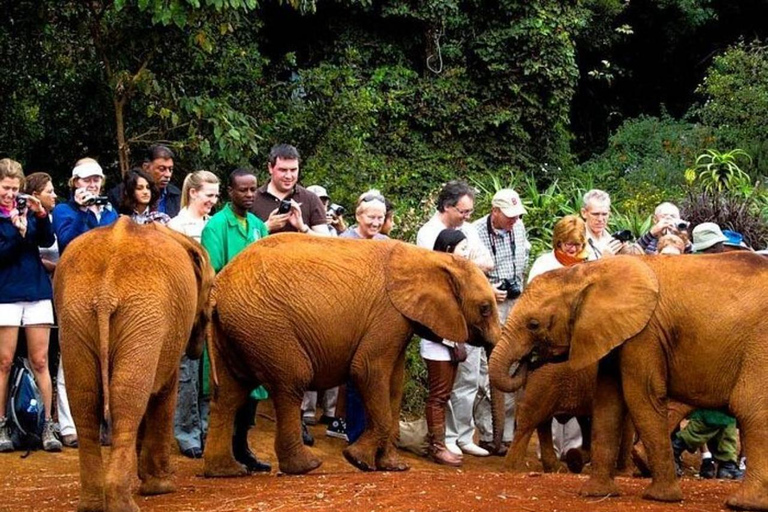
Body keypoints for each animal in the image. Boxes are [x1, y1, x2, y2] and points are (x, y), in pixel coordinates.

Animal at [53, 217, 214, 512]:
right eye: (211, 289)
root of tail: (105, 292)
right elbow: (164, 393)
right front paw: (160, 488)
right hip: (143, 315)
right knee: (127, 401)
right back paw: (123, 504)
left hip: (75, 316)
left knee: (86, 400)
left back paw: (93, 504)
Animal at [203, 233, 501, 476]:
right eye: (485, 308)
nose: (494, 449)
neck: (431, 258)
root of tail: (218, 287)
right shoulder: (388, 315)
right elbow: (367, 370)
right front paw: (357, 460)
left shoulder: (399, 322)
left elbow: (394, 384)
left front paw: (394, 466)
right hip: (266, 327)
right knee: (292, 382)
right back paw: (306, 467)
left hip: (238, 328)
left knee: (229, 394)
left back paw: (226, 471)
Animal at [489, 253, 768, 510]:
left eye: (533, 324)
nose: (528, 360)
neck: (590, 272)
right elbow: (608, 403)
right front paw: (596, 493)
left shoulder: (644, 334)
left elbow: (641, 398)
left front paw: (660, 497)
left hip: (759, 346)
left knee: (751, 410)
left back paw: (742, 503)